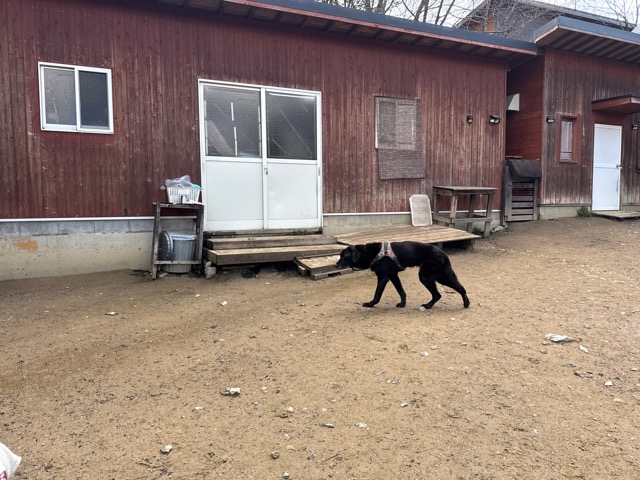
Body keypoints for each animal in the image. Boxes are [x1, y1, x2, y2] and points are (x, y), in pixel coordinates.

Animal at [336, 241, 470, 309]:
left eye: (344, 256)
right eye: (340, 255)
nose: (336, 266)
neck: (371, 253)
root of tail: (443, 252)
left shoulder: (383, 277)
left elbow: (377, 294)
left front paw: (370, 304)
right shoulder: (393, 275)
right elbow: (401, 291)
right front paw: (402, 304)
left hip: (426, 276)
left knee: (438, 294)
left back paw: (427, 306)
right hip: (441, 276)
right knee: (459, 288)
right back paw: (466, 302)